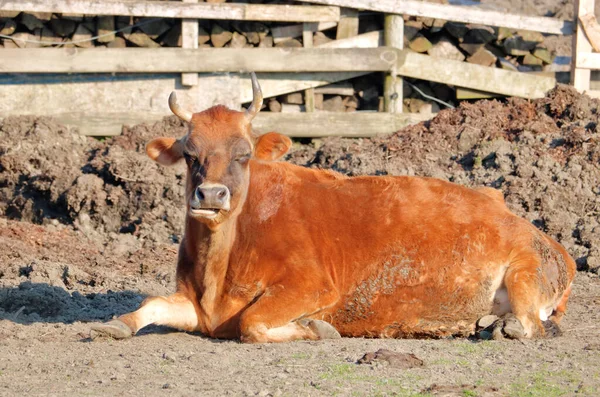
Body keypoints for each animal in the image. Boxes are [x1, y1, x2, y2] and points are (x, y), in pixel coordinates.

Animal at [91, 72, 576, 342]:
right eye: (191, 155)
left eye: (244, 154)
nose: (210, 195)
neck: (221, 266)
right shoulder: (196, 306)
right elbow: (152, 304)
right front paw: (116, 324)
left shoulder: (312, 287)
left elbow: (252, 323)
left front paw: (316, 329)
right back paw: (486, 323)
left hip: (525, 271)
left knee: (531, 325)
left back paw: (504, 327)